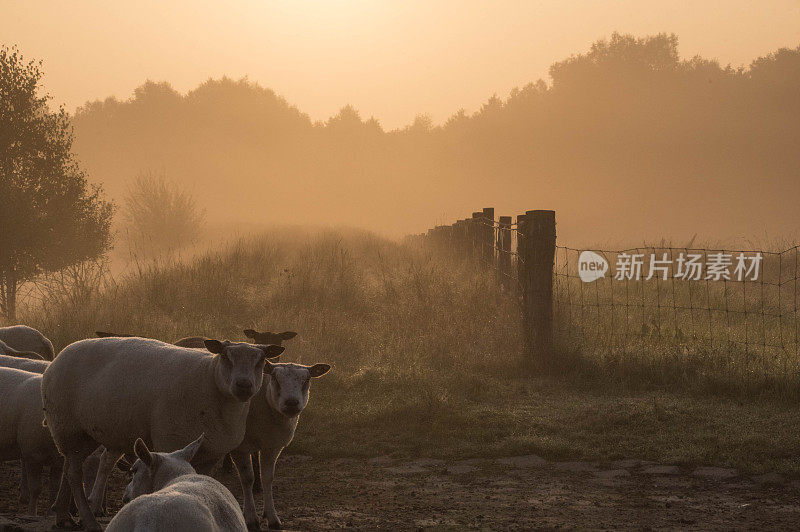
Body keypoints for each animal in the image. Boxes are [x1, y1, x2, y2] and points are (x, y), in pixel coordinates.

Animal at [0, 368, 63, 512]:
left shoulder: (59, 461)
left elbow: (54, 489)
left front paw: (50, 513)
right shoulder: (32, 455)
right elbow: (36, 489)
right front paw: (31, 513)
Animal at [230, 360, 330, 528]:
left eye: (307, 380)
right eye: (275, 378)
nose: (291, 403)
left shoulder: (272, 446)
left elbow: (267, 478)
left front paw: (271, 517)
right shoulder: (240, 447)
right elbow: (247, 478)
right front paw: (250, 518)